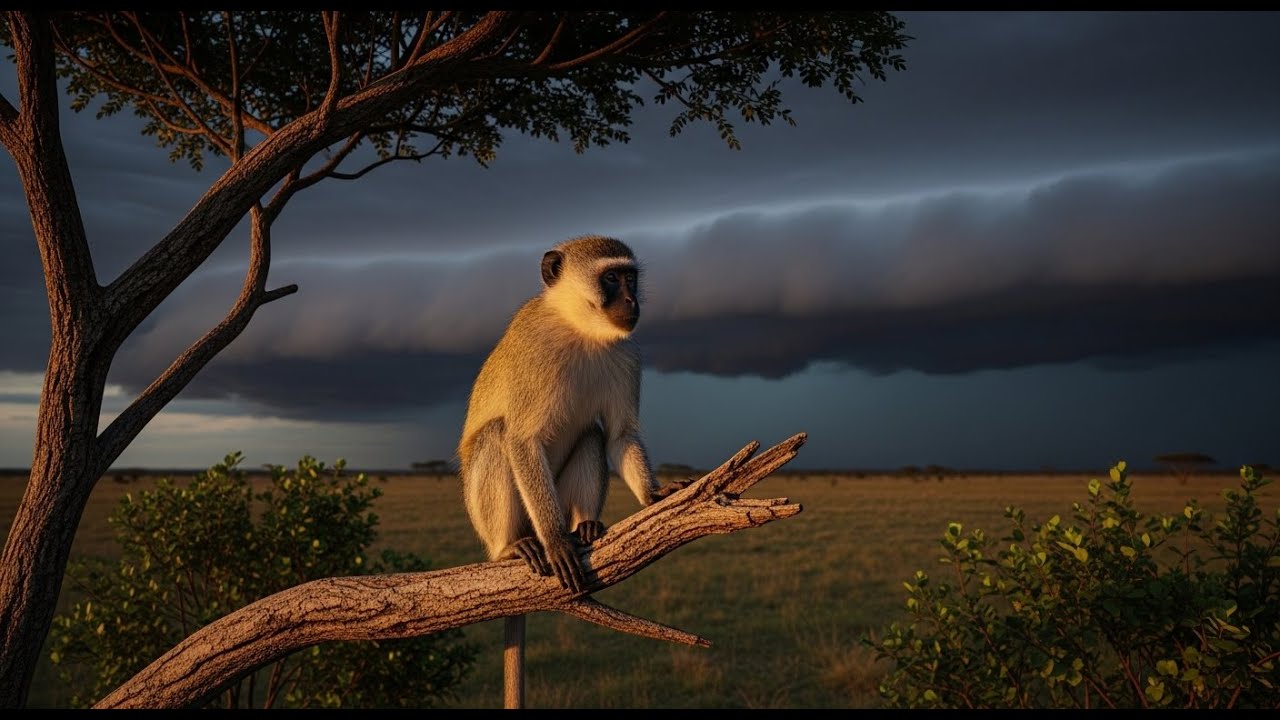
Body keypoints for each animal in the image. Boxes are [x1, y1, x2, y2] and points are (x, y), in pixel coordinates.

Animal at [456, 235, 685, 708]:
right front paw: (557, 540)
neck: (581, 331)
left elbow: (618, 435)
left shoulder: (627, 355)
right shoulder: (533, 350)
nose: (633, 301)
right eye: (611, 278)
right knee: (497, 435)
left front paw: (654, 496)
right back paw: (513, 547)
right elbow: (522, 440)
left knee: (592, 435)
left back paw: (586, 525)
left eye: (631, 277)